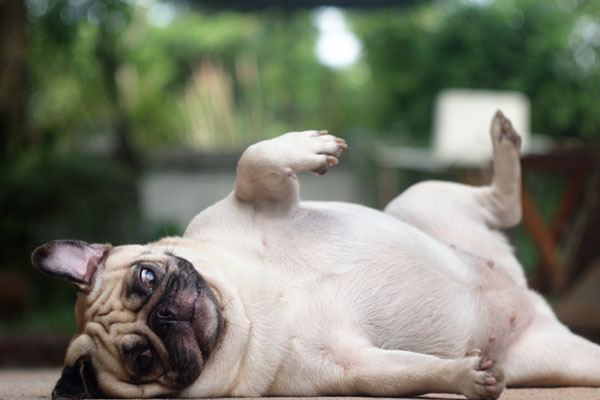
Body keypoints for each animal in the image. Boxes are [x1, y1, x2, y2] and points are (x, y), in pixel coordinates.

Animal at [34, 111, 600, 400]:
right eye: (143, 360)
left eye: (148, 278)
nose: (166, 316)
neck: (249, 308)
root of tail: (527, 296)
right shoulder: (350, 369)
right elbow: (408, 373)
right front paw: (464, 377)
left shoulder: (254, 203)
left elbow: (252, 161)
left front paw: (309, 147)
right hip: (552, 361)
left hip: (420, 200)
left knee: (501, 204)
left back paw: (503, 143)